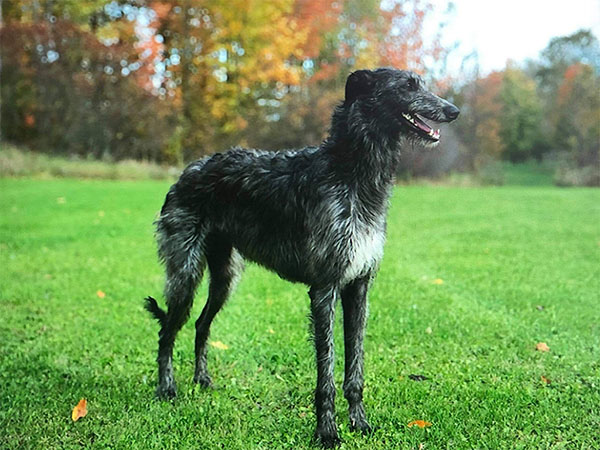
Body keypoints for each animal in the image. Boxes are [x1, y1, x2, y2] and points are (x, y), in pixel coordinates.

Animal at [145, 67, 460, 446]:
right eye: (408, 86)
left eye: (421, 82)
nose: (454, 111)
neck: (350, 172)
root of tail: (187, 172)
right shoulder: (324, 287)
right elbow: (327, 369)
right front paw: (327, 432)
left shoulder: (359, 285)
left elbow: (355, 365)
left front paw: (359, 423)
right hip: (186, 269)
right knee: (167, 330)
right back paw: (167, 388)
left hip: (225, 276)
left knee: (201, 324)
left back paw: (202, 381)